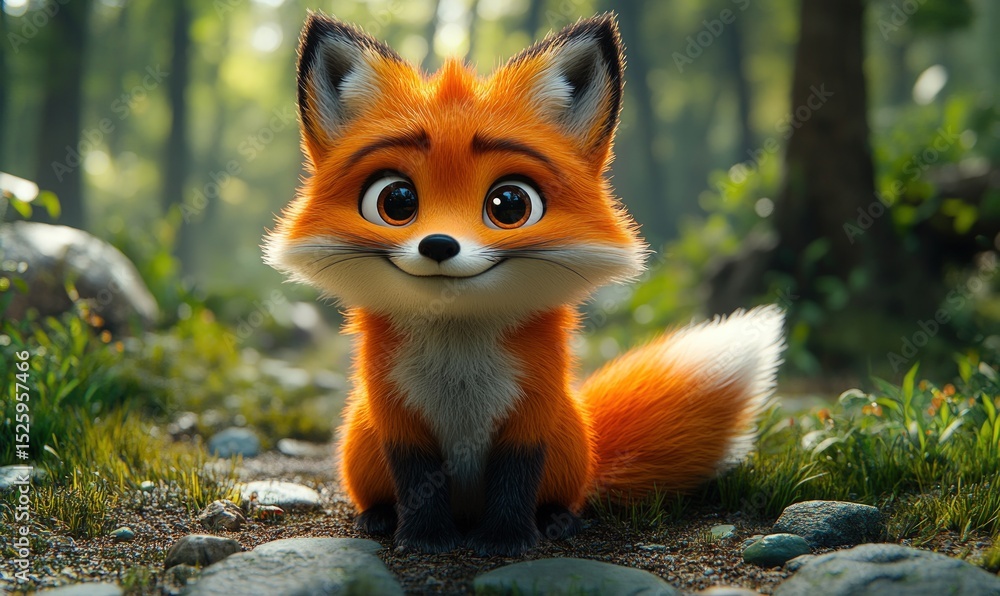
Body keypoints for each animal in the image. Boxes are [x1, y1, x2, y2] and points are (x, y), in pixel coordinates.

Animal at [263, 12, 784, 556]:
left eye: (510, 204)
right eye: (397, 200)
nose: (439, 245)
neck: (459, 356)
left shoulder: (532, 414)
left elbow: (515, 483)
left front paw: (506, 542)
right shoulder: (397, 417)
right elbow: (418, 483)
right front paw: (426, 539)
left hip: (566, 439)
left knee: (564, 495)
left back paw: (559, 519)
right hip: (360, 438)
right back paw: (378, 517)